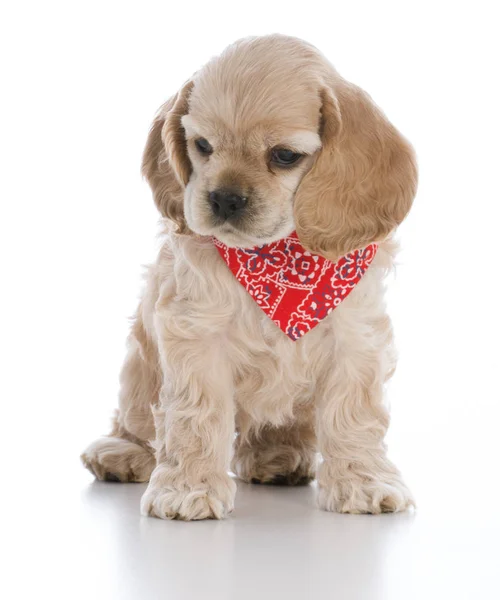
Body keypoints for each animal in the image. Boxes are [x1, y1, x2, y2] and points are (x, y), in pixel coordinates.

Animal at [83, 35, 418, 516]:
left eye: (284, 156)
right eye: (203, 146)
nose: (224, 198)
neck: (278, 262)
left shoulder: (356, 338)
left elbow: (353, 414)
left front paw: (364, 482)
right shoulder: (196, 334)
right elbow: (195, 415)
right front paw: (188, 489)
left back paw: (278, 456)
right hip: (139, 363)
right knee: (136, 419)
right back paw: (121, 453)